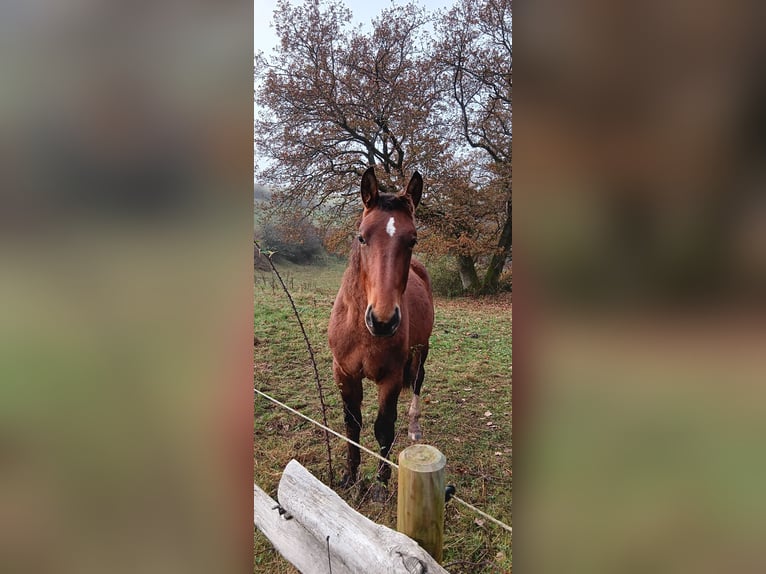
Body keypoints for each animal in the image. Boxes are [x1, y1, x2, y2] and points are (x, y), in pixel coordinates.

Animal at [328, 165, 436, 490]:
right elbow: (352, 424)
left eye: (412, 240)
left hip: (422, 349)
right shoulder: (344, 373)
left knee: (417, 381)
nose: (382, 320)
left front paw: (381, 482)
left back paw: (414, 427)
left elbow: (384, 427)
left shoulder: (390, 377)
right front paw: (350, 475)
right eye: (362, 237)